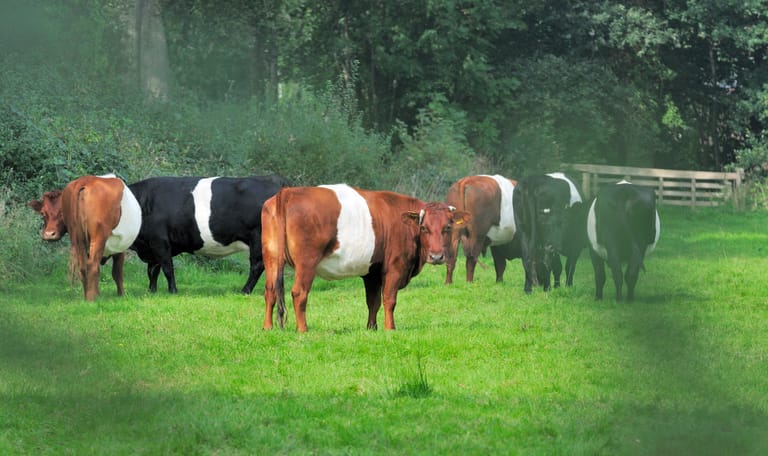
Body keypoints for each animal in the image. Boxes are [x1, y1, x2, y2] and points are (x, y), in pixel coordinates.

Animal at [127, 175, 289, 294]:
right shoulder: (152, 245)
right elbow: (153, 270)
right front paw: (151, 291)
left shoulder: (159, 241)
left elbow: (167, 268)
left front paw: (172, 291)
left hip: (258, 238)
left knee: (258, 265)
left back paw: (245, 290)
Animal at [261, 184, 469, 332]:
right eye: (424, 228)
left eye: (447, 227)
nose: (436, 256)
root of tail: (288, 192)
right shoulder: (395, 267)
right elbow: (389, 299)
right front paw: (389, 328)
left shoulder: (372, 272)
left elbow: (373, 301)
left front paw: (372, 328)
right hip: (307, 262)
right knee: (299, 293)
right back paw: (303, 329)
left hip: (271, 258)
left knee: (270, 291)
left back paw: (267, 327)